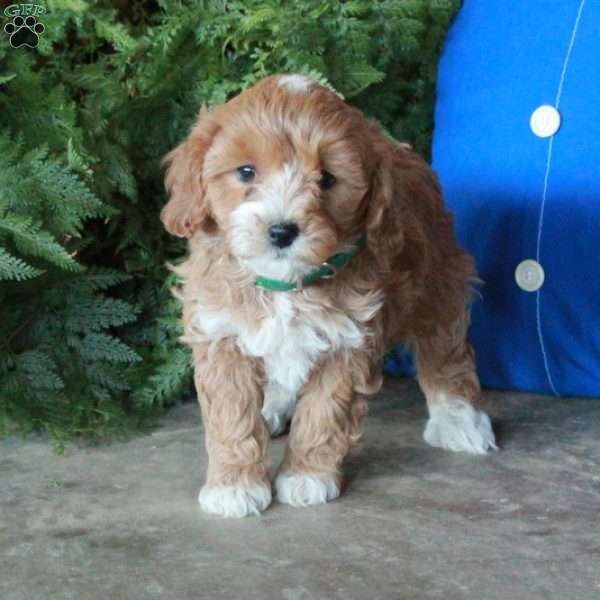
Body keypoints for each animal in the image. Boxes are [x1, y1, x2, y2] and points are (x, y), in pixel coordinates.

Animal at [161, 74, 496, 516]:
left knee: (446, 352)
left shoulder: (349, 340)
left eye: (327, 179)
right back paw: (274, 406)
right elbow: (232, 414)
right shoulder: (222, 333)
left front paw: (307, 477)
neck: (286, 284)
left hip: (439, 283)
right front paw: (234, 485)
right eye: (246, 172)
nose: (281, 231)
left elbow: (324, 412)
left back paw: (459, 420)